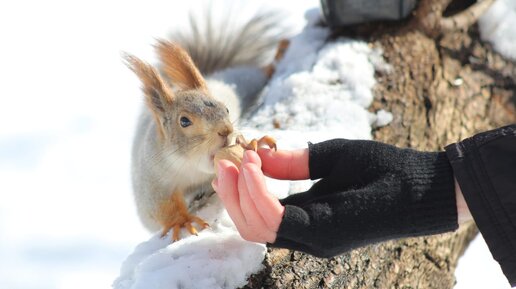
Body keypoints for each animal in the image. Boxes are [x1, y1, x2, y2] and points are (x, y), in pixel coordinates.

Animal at [123, 10, 288, 240]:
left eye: (226, 109)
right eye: (184, 121)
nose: (226, 130)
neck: (193, 169)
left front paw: (252, 143)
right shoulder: (152, 179)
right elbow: (161, 207)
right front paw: (181, 221)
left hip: (232, 82)